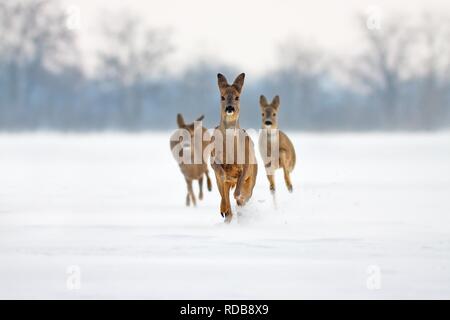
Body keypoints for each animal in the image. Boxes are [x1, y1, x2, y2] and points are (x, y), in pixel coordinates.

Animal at [210, 72, 256, 222]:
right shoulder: (213, 160)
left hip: (253, 176)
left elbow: (239, 189)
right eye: (222, 97)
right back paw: (225, 212)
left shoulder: (246, 164)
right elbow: (221, 173)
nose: (229, 108)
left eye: (237, 97)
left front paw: (239, 198)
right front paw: (225, 209)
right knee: (225, 196)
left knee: (244, 195)